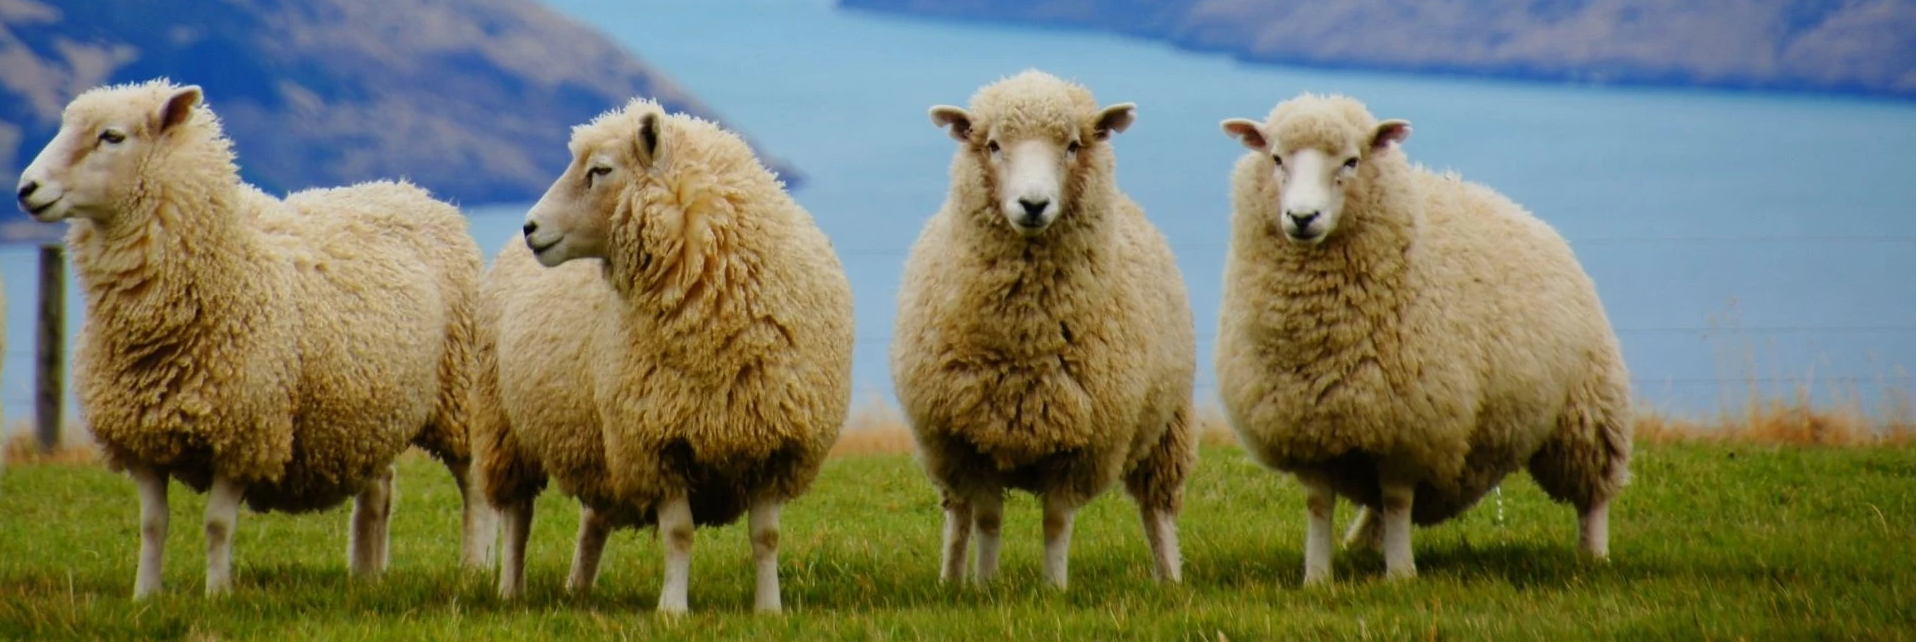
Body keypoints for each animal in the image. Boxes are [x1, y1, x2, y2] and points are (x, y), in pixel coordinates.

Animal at [12, 79, 495, 598]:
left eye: (112, 136)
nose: (25, 189)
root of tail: (412, 191)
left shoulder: (245, 433)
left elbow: (217, 524)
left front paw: (217, 595)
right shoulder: (141, 439)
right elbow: (152, 524)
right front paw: (146, 596)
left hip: (458, 394)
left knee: (473, 487)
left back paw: (475, 567)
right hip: (368, 407)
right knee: (379, 487)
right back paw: (366, 574)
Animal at [473, 97, 854, 614]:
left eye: (600, 170)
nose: (531, 226)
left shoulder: (775, 442)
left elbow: (767, 537)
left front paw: (769, 609)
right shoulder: (659, 440)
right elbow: (679, 534)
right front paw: (672, 609)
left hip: (599, 439)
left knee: (593, 519)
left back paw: (579, 589)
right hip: (507, 427)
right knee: (518, 515)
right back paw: (512, 590)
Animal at [890, 70, 1197, 590]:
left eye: (1073, 145)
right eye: (993, 145)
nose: (1033, 204)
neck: (1026, 336)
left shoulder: (1082, 444)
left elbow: (1056, 521)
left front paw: (1053, 588)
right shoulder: (970, 441)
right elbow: (988, 518)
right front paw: (984, 586)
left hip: (1168, 424)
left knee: (1157, 510)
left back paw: (1169, 578)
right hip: (943, 454)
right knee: (958, 516)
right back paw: (951, 579)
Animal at [1214, 93, 1633, 584]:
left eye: (1352, 161)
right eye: (1276, 158)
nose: (1302, 218)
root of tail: (1517, 209)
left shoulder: (1411, 425)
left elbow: (1398, 499)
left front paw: (1400, 575)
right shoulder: (1309, 426)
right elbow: (1319, 503)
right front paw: (1317, 578)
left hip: (1586, 406)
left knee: (1594, 493)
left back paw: (1594, 555)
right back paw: (1362, 544)